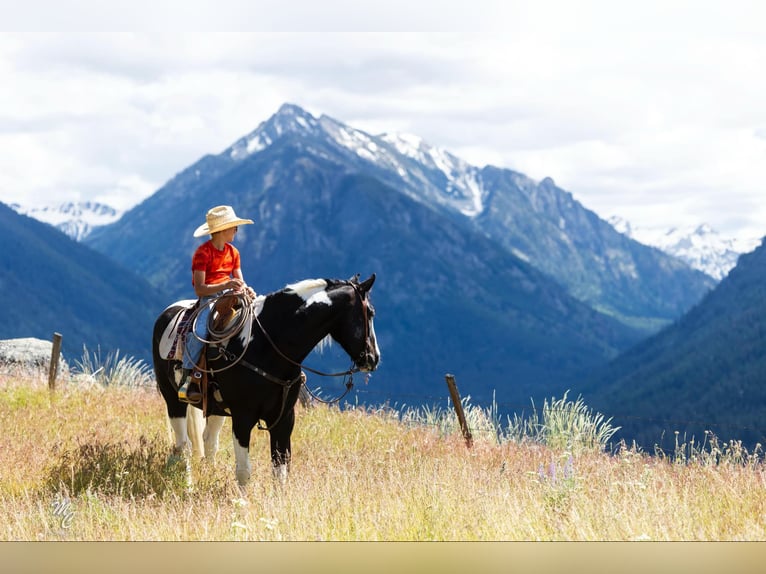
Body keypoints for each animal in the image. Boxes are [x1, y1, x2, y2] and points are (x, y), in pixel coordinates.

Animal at [152, 274, 380, 487]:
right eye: (370, 313)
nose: (373, 358)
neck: (266, 346)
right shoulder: (243, 418)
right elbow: (244, 471)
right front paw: (242, 502)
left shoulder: (285, 419)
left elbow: (280, 469)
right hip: (173, 399)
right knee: (183, 444)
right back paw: (188, 485)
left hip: (216, 408)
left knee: (209, 441)